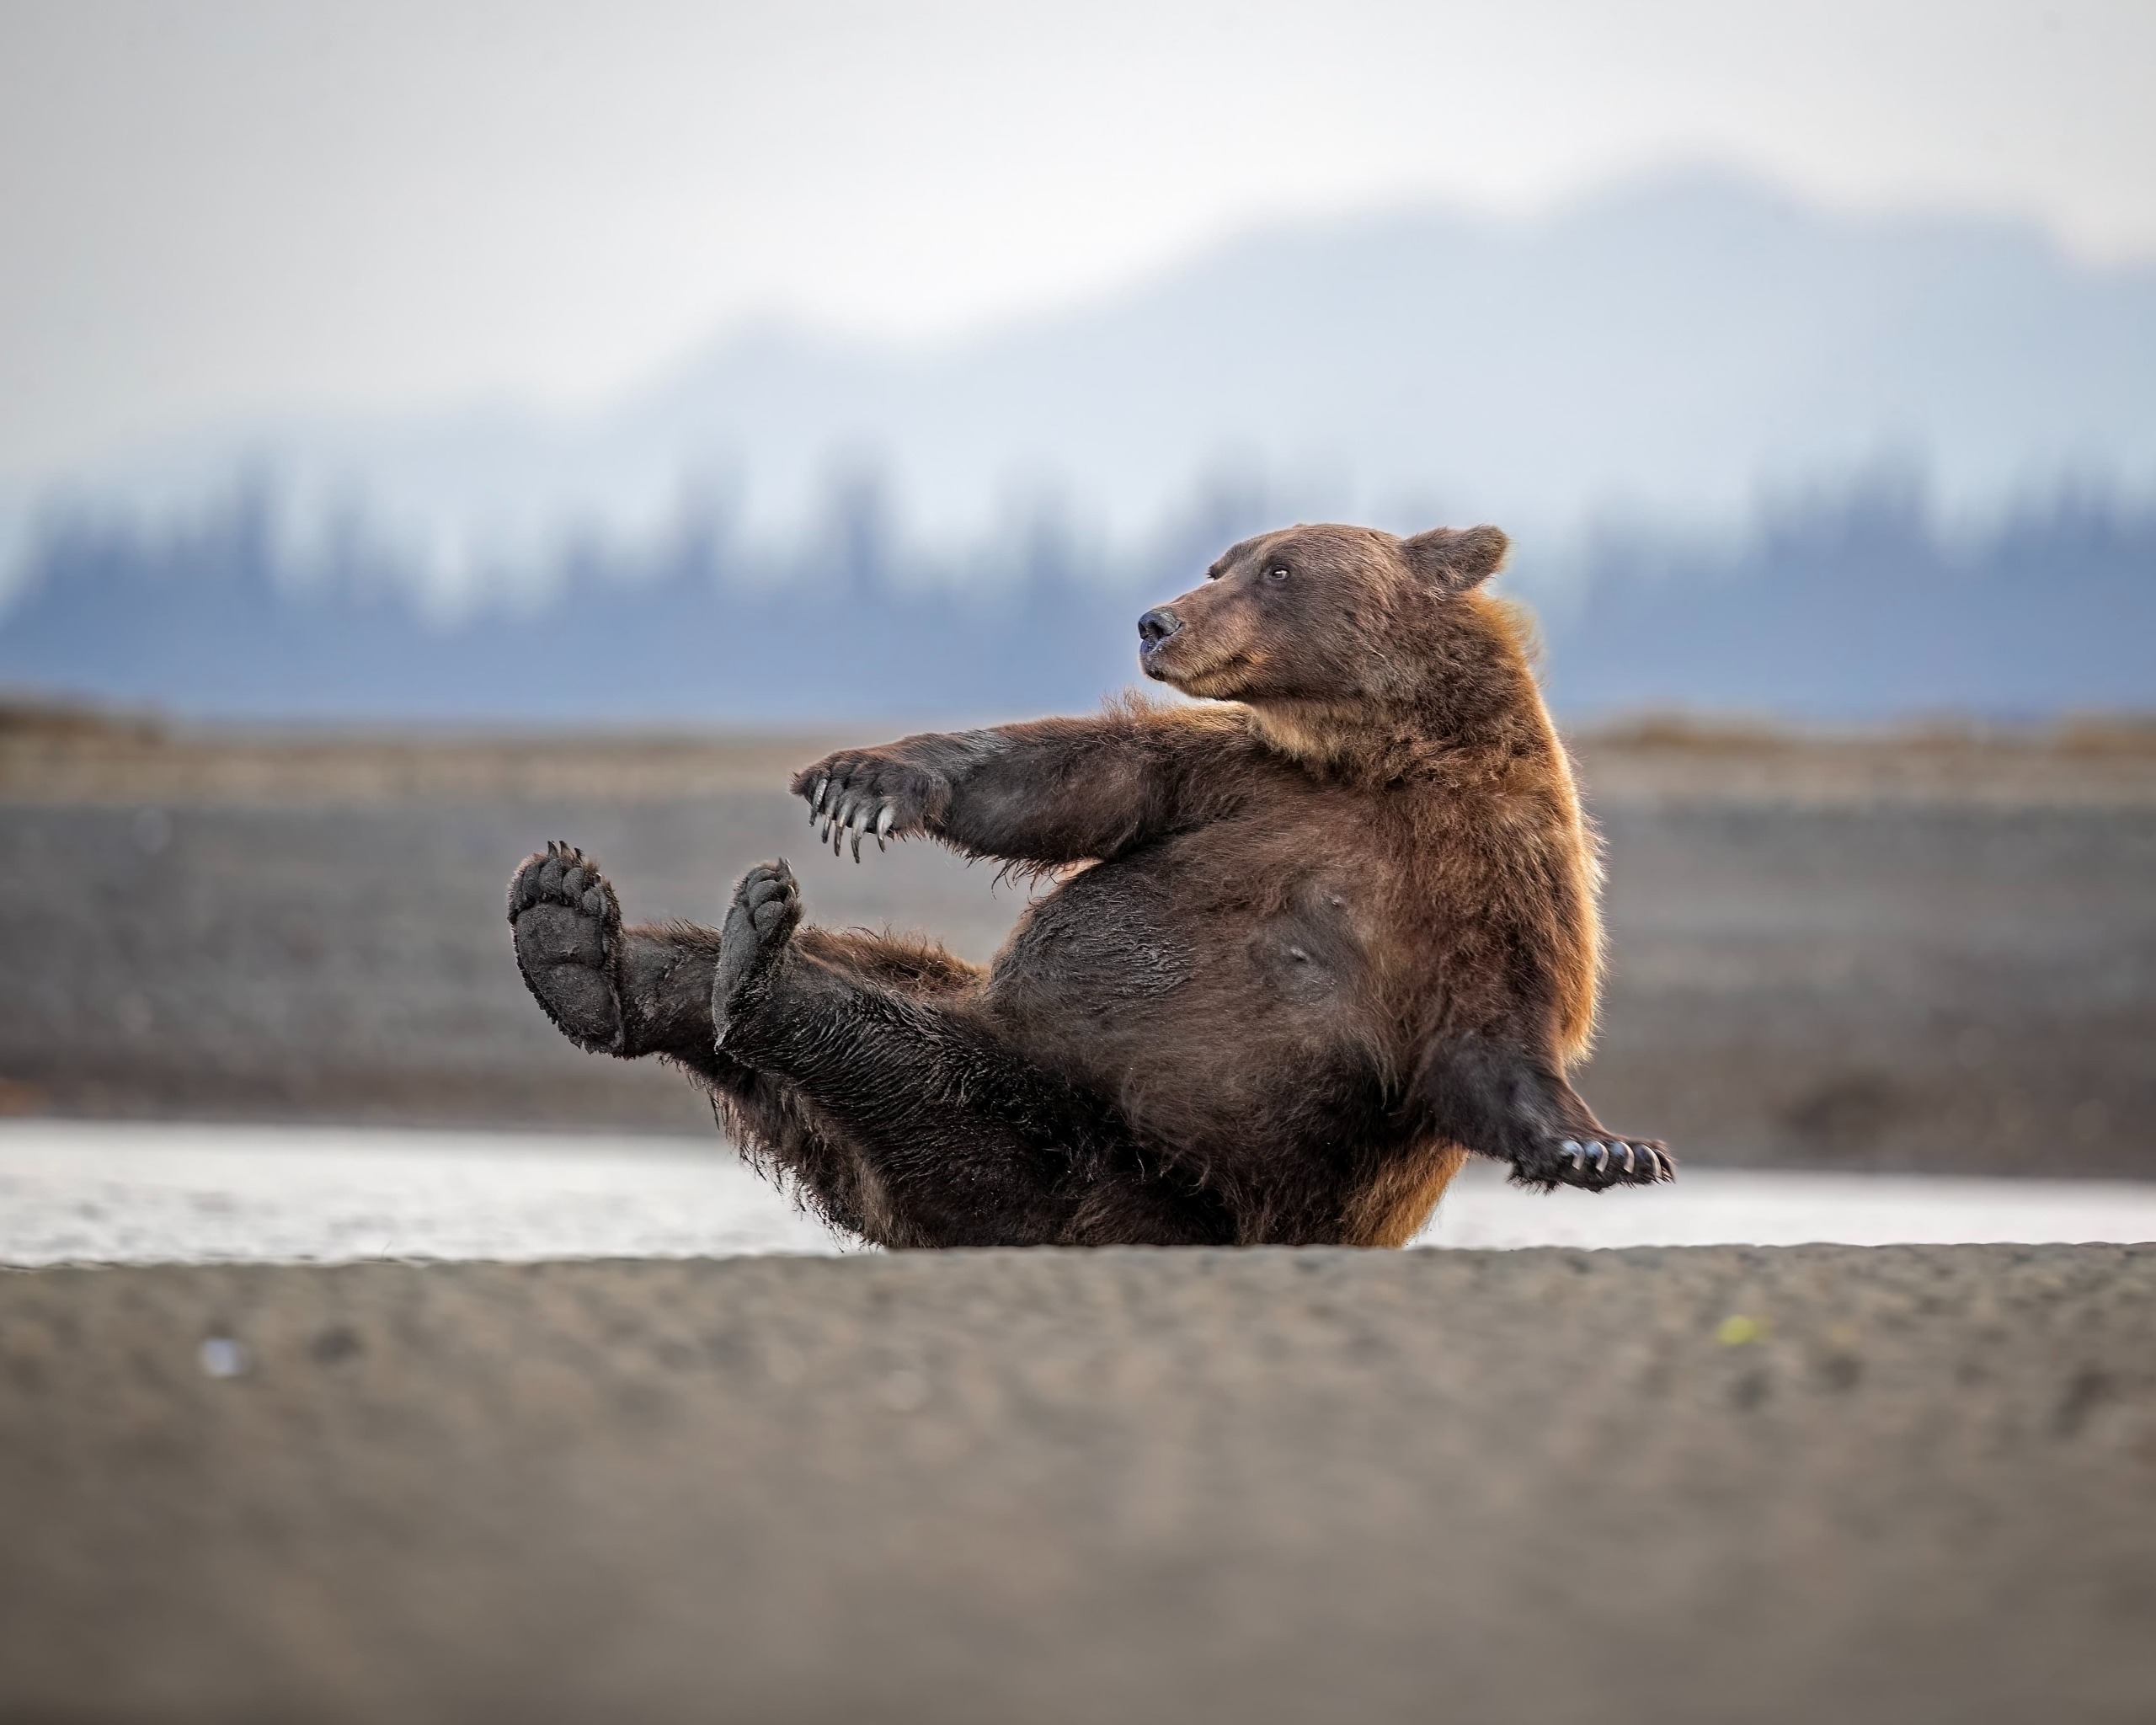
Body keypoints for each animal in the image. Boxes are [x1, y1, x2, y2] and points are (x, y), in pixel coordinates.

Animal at [508, 521, 1670, 1248]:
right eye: (1221, 558)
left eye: (1280, 567)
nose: (1158, 618)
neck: (1377, 756)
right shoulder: (1239, 781)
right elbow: (1072, 780)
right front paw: (866, 780)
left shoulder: (1494, 871)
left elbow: (1493, 1037)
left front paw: (1601, 1146)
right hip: (1012, 1053)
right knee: (868, 978)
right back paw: (581, 936)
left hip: (1085, 1157)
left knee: (899, 1062)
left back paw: (736, 969)